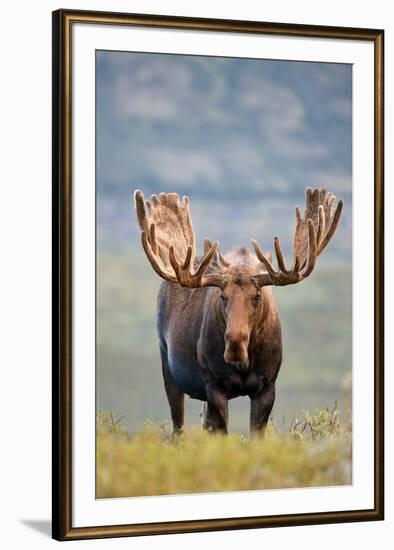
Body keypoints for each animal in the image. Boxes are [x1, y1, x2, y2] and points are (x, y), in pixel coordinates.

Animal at [133, 190, 342, 440]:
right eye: (223, 296)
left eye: (257, 295)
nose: (234, 343)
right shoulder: (214, 385)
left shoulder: (267, 386)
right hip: (168, 364)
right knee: (178, 427)